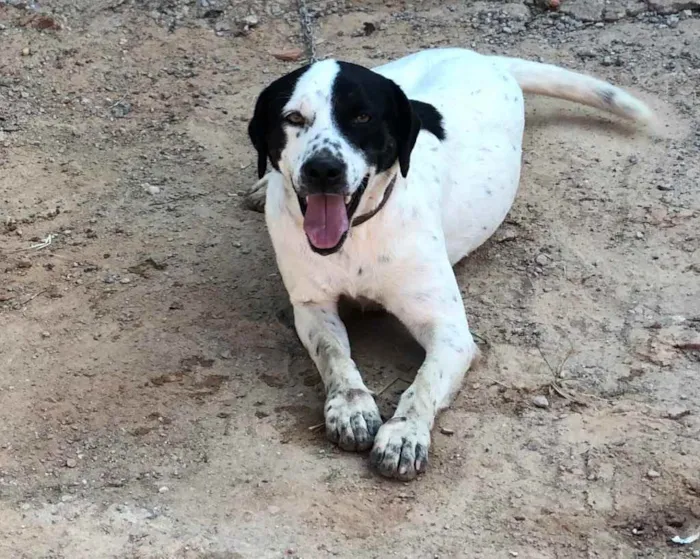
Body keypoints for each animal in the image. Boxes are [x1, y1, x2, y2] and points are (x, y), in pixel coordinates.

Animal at [245, 47, 652, 482]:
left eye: (362, 117)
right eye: (293, 118)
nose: (323, 169)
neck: (356, 237)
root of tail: (483, 56)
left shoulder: (450, 332)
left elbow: (424, 382)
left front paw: (404, 434)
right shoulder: (312, 307)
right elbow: (335, 356)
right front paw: (352, 407)